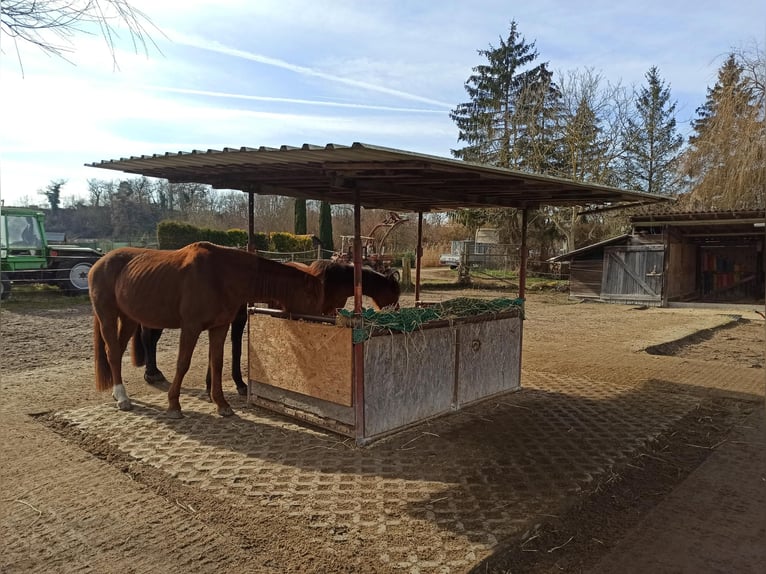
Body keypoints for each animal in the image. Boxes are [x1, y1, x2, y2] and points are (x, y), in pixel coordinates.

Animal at [89, 241, 324, 420]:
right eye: (313, 297)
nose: (319, 324)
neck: (220, 274)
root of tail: (99, 263)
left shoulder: (219, 327)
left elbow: (217, 363)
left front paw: (222, 404)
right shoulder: (191, 327)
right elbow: (183, 364)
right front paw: (174, 405)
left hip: (128, 319)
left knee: (116, 352)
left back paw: (118, 393)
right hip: (108, 316)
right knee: (113, 352)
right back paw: (123, 397)